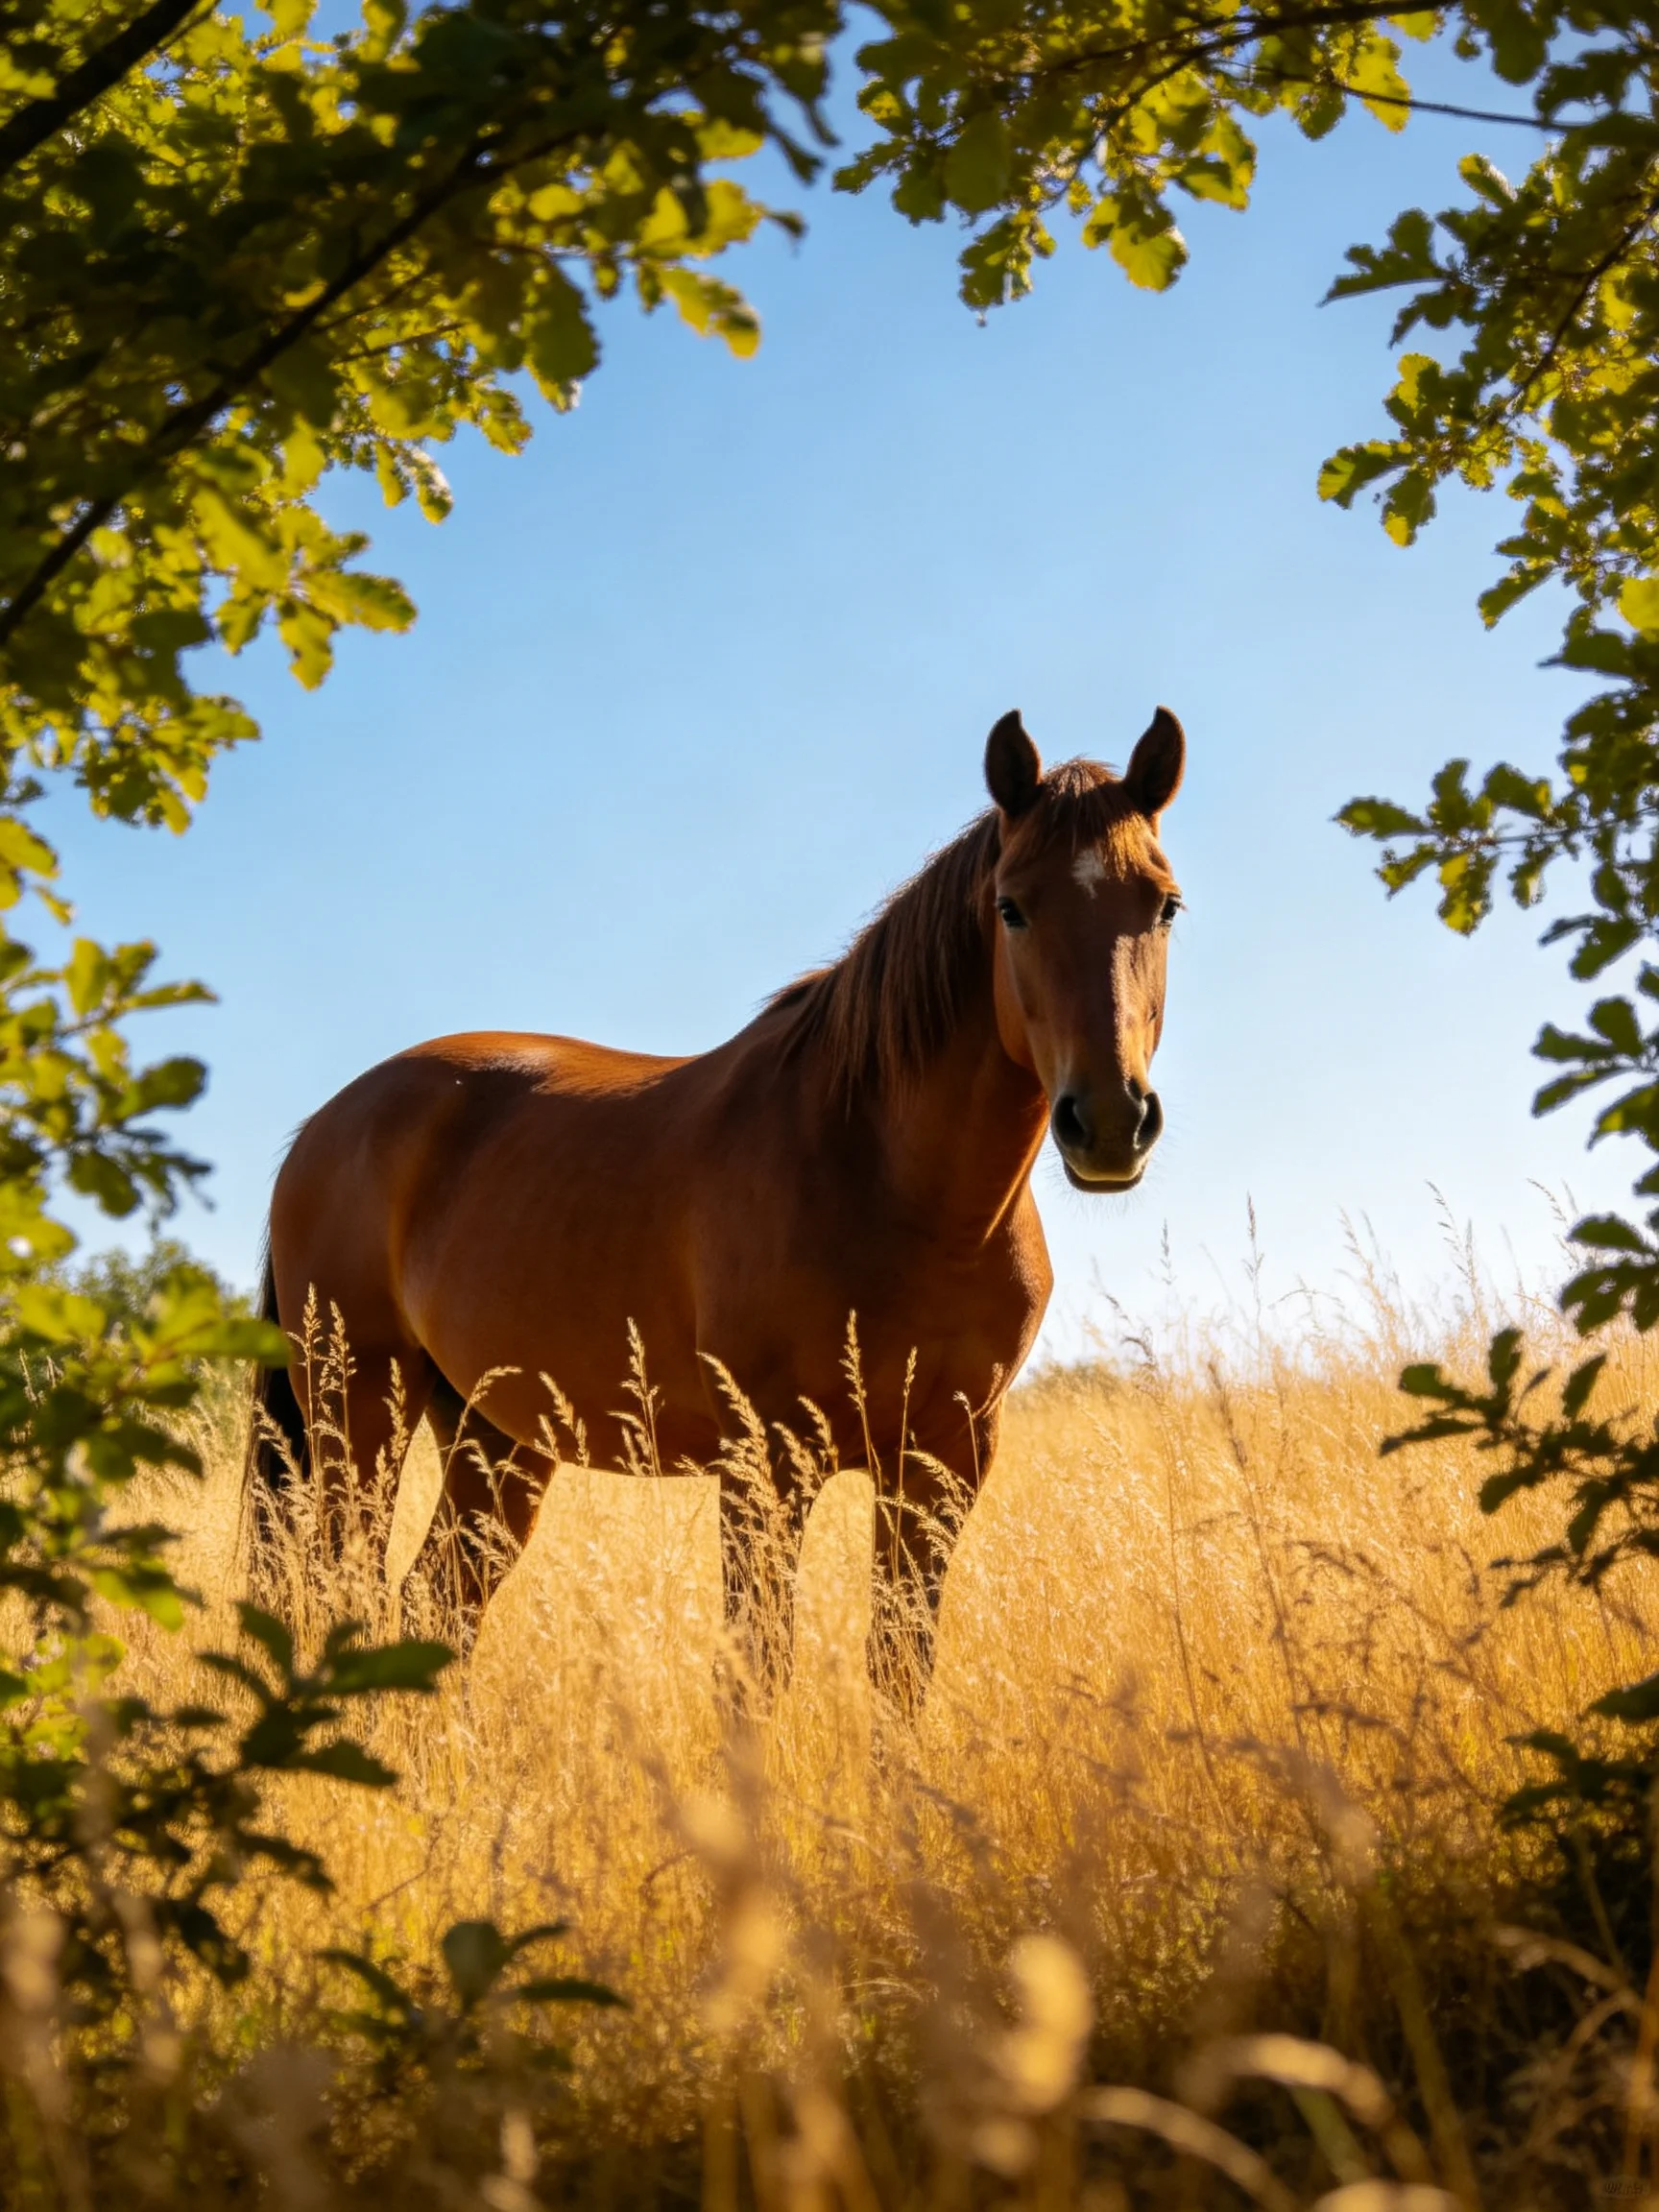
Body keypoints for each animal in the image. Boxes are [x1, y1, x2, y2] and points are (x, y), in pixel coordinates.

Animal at [247, 705, 1186, 1694]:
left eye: (1165, 905)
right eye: (1012, 907)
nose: (1110, 1121)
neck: (896, 1189)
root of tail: (324, 1126)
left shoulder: (942, 1463)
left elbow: (899, 1667)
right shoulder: (765, 1463)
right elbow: (754, 1669)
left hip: (494, 1437)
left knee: (434, 1604)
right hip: (358, 1417)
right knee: (337, 1594)